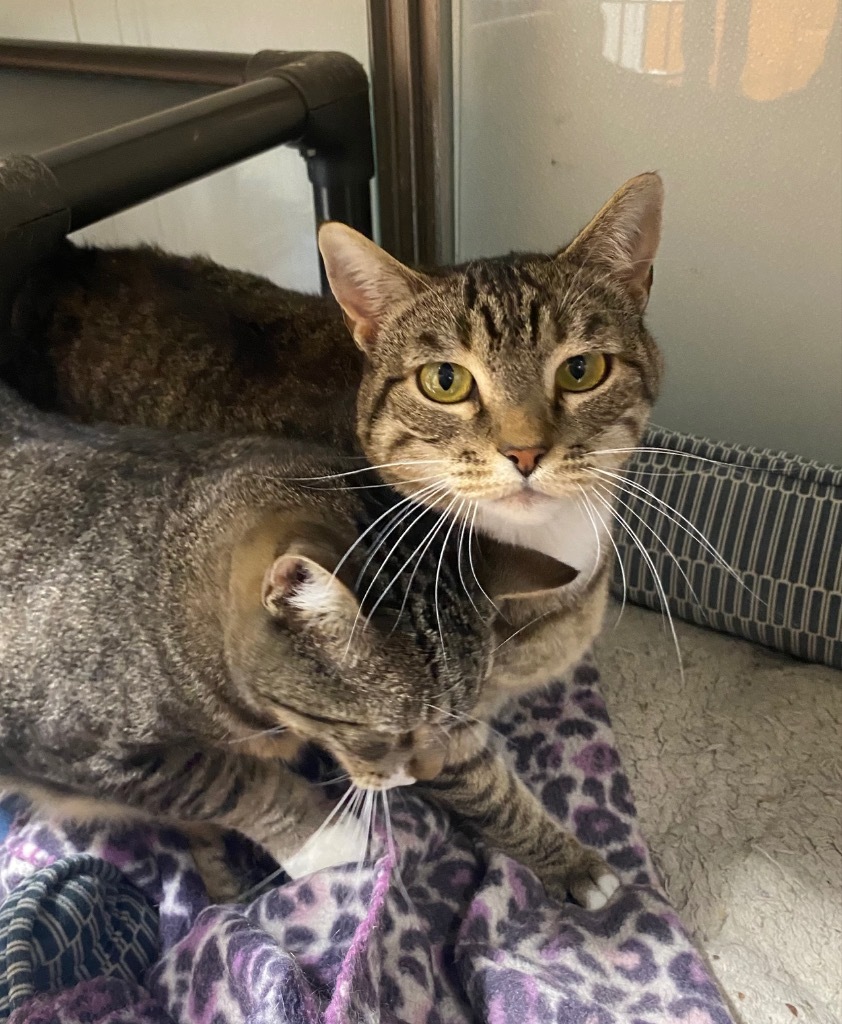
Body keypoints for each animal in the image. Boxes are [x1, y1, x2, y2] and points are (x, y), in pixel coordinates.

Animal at [0, 382, 618, 905]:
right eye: (388, 732)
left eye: (453, 722)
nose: (426, 770)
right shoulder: (70, 748)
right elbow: (224, 778)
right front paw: (325, 836)